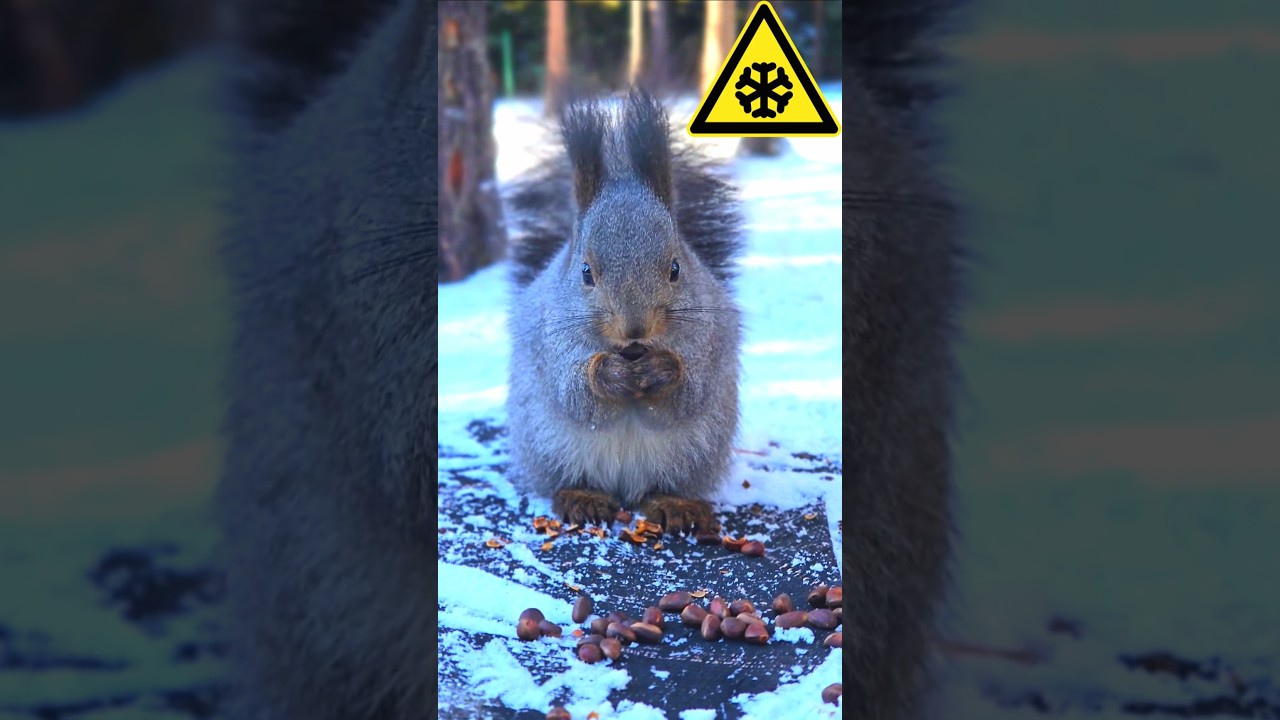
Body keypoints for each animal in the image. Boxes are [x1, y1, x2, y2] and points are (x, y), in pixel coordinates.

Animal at [502, 89, 743, 534]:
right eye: (585, 272)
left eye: (675, 269)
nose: (635, 329)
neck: (632, 353)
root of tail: (624, 490)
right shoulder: (548, 340)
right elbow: (574, 392)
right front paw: (609, 374)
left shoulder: (710, 337)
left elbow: (691, 391)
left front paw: (663, 369)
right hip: (547, 445)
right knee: (573, 477)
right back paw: (583, 497)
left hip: (695, 454)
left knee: (662, 486)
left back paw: (675, 504)